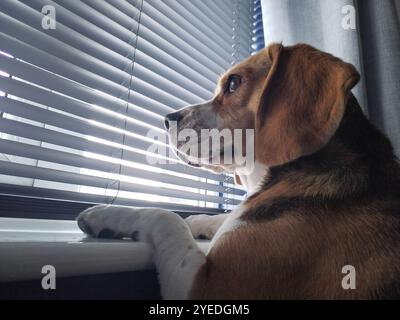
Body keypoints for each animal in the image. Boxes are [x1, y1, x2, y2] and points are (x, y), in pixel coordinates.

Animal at [77, 43, 400, 298]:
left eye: (233, 84)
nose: (166, 119)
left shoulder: (209, 287)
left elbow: (165, 217)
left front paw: (106, 214)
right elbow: (214, 217)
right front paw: (197, 221)